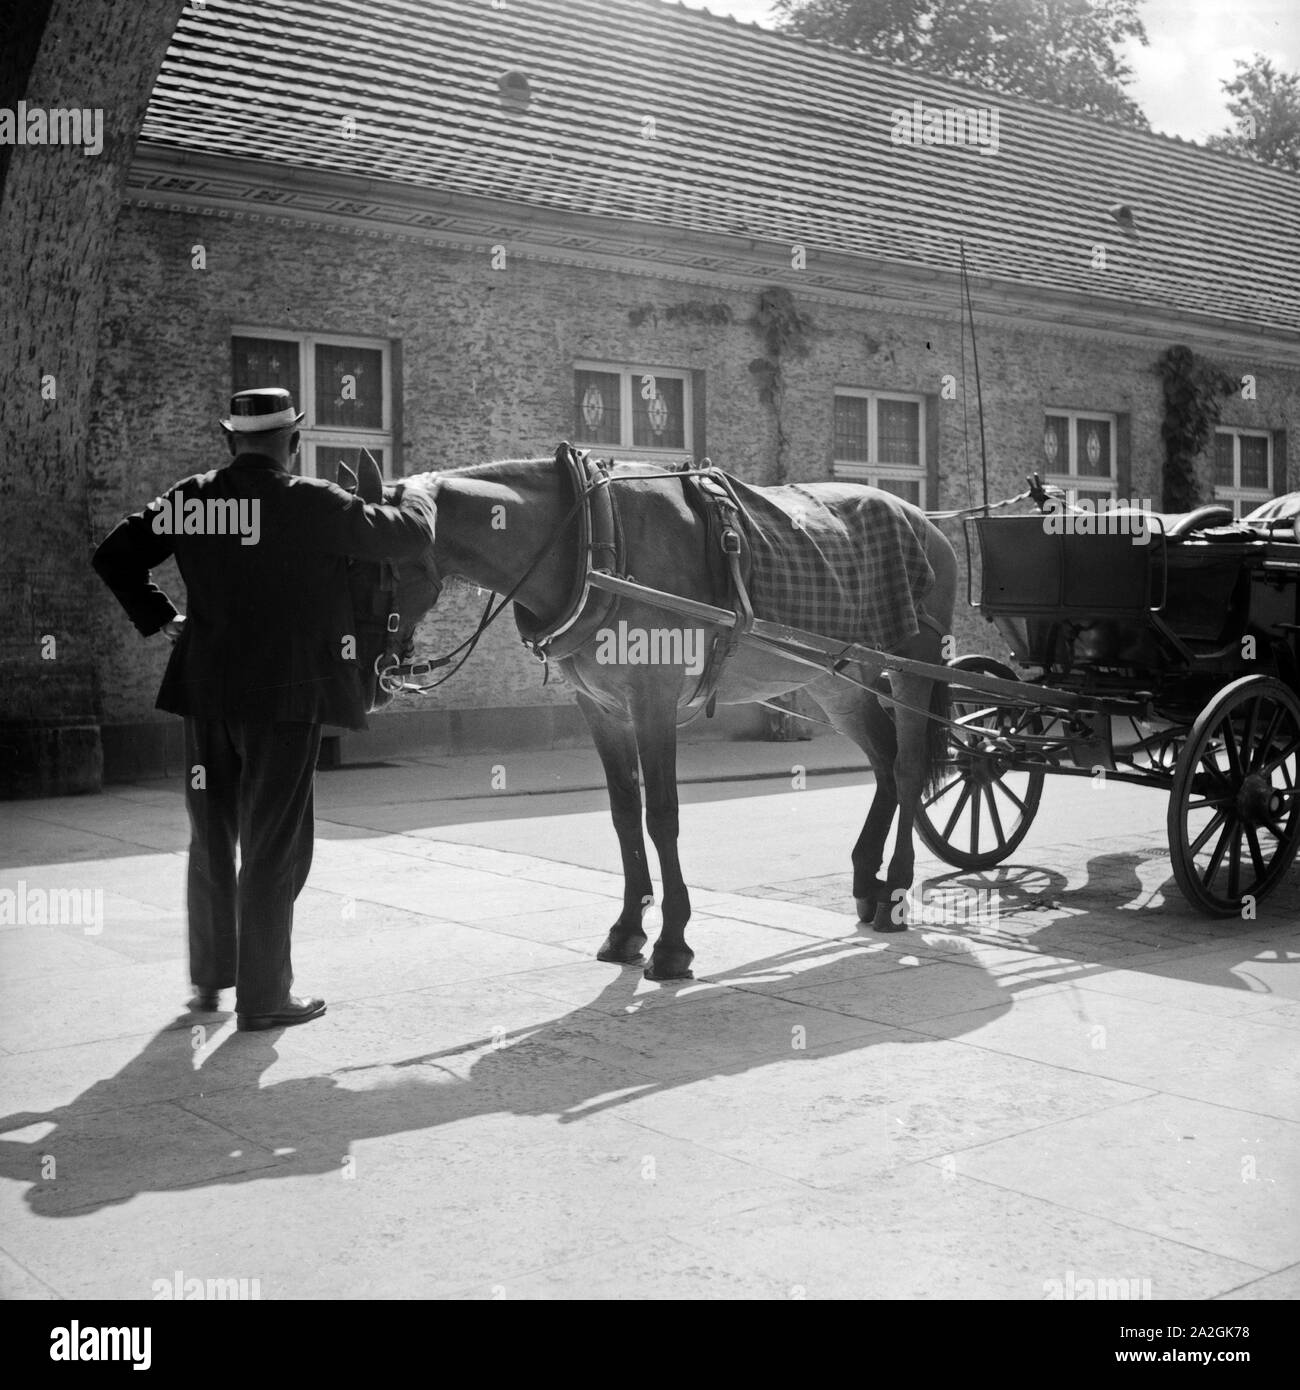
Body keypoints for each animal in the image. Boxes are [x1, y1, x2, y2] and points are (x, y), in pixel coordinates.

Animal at [355, 450, 956, 984]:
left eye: (381, 569)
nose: (366, 674)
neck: (590, 541)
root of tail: (926, 521)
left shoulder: (653, 702)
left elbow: (662, 815)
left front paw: (672, 943)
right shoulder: (602, 709)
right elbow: (625, 812)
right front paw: (627, 928)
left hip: (912, 664)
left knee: (906, 768)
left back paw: (895, 891)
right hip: (837, 679)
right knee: (884, 762)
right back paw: (867, 878)